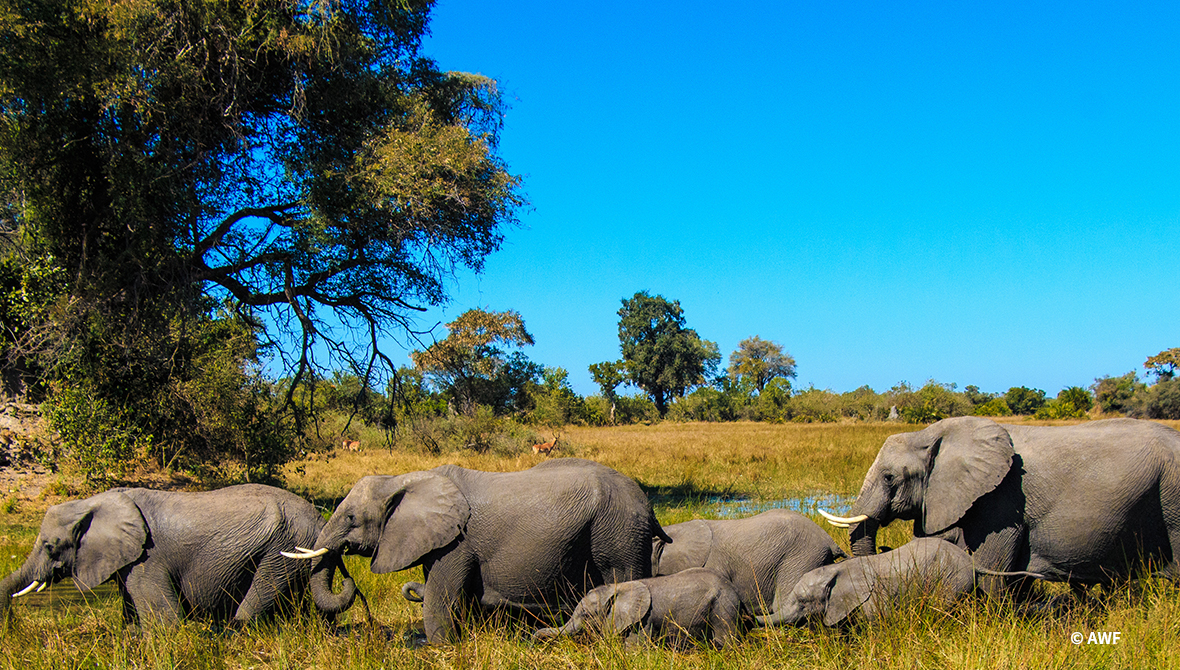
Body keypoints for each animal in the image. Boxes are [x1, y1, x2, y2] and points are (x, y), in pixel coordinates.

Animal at [0, 484, 342, 624]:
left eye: (50, 546)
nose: (10, 625)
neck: (96, 501)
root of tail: (319, 518)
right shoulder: (129, 563)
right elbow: (132, 618)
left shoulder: (146, 559)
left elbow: (165, 621)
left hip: (281, 549)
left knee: (253, 606)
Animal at [285, 457, 672, 644]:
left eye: (351, 518)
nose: (345, 574)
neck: (405, 478)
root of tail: (647, 503)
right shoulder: (439, 540)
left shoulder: (458, 542)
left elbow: (440, 596)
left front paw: (438, 648)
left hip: (617, 532)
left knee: (623, 575)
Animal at [533, 568, 742, 649]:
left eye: (585, 615)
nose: (532, 641)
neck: (617, 588)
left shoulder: (643, 618)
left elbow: (634, 647)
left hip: (724, 604)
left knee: (725, 637)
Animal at [754, 538, 1044, 627]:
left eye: (803, 602)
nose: (749, 617)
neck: (837, 570)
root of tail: (972, 562)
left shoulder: (872, 597)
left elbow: (877, 624)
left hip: (953, 580)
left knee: (942, 608)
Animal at [821, 417, 1180, 592]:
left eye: (889, 478)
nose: (882, 549)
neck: (934, 433)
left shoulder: (1003, 500)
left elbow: (990, 568)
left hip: (1172, 492)